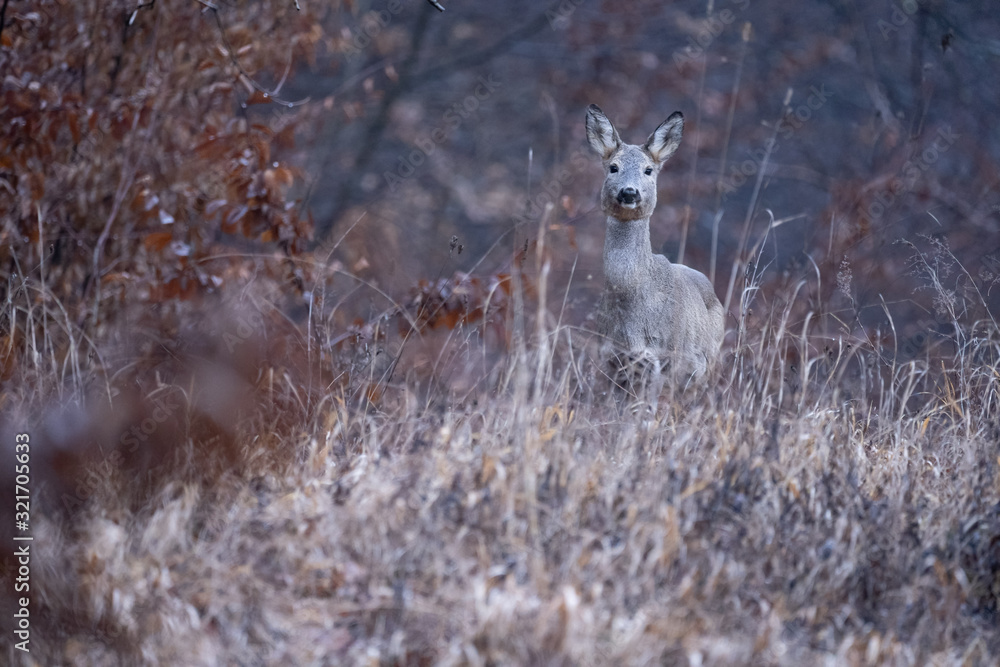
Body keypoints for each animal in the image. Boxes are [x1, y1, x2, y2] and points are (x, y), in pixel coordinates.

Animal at [585, 104, 724, 399]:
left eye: (648, 170)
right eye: (613, 167)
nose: (629, 192)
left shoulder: (671, 355)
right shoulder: (612, 356)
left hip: (707, 360)